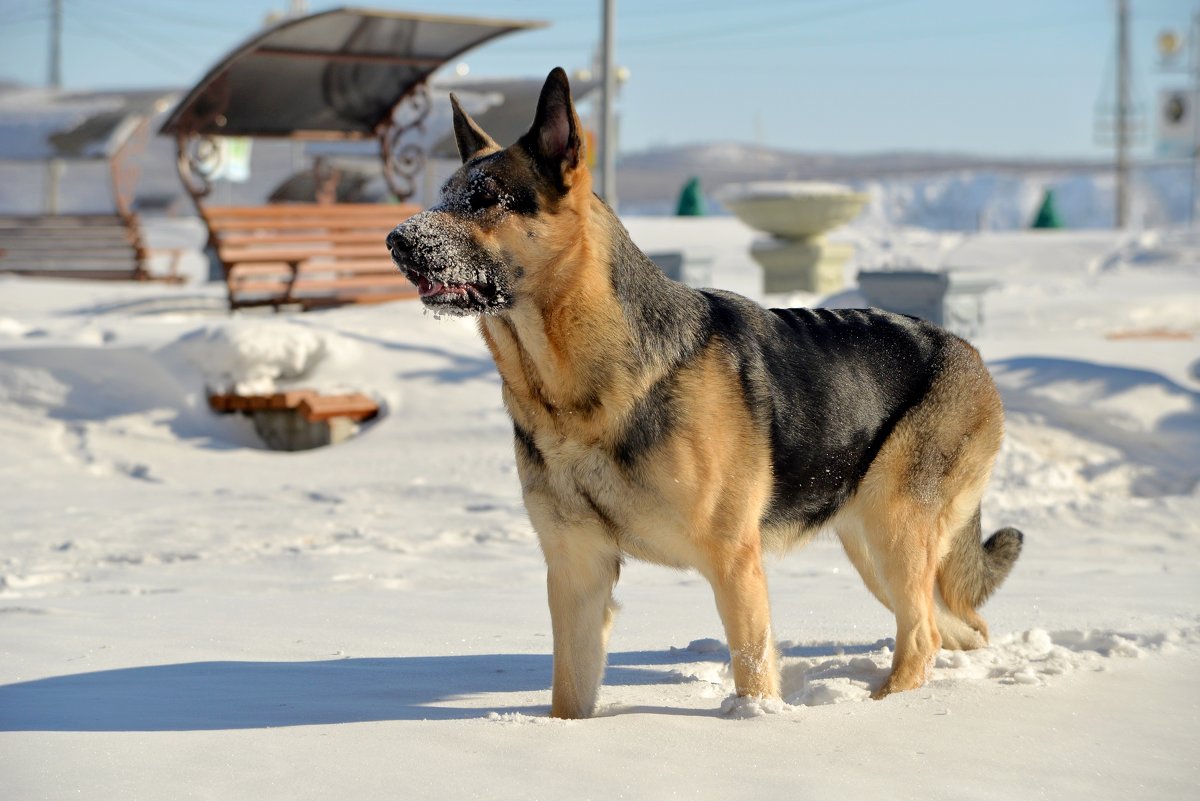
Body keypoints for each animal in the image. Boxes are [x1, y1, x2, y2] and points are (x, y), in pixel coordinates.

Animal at [386, 70, 1022, 719]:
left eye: (487, 197)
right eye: (445, 195)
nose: (396, 241)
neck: (575, 393)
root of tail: (966, 349)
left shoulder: (733, 562)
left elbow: (754, 669)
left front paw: (754, 722)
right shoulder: (577, 571)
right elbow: (570, 694)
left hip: (893, 530)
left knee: (921, 636)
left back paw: (884, 706)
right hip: (870, 547)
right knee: (953, 627)